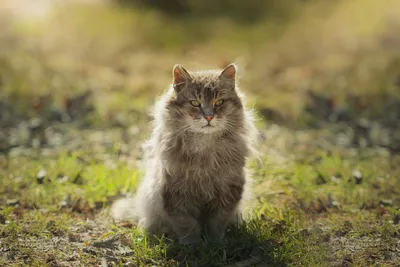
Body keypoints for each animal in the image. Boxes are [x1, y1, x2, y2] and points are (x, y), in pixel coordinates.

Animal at [111, 63, 258, 246]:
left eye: (219, 102)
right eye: (195, 103)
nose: (208, 117)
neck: (204, 147)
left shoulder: (227, 191)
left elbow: (217, 223)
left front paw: (215, 243)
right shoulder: (176, 193)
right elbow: (187, 225)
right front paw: (192, 246)